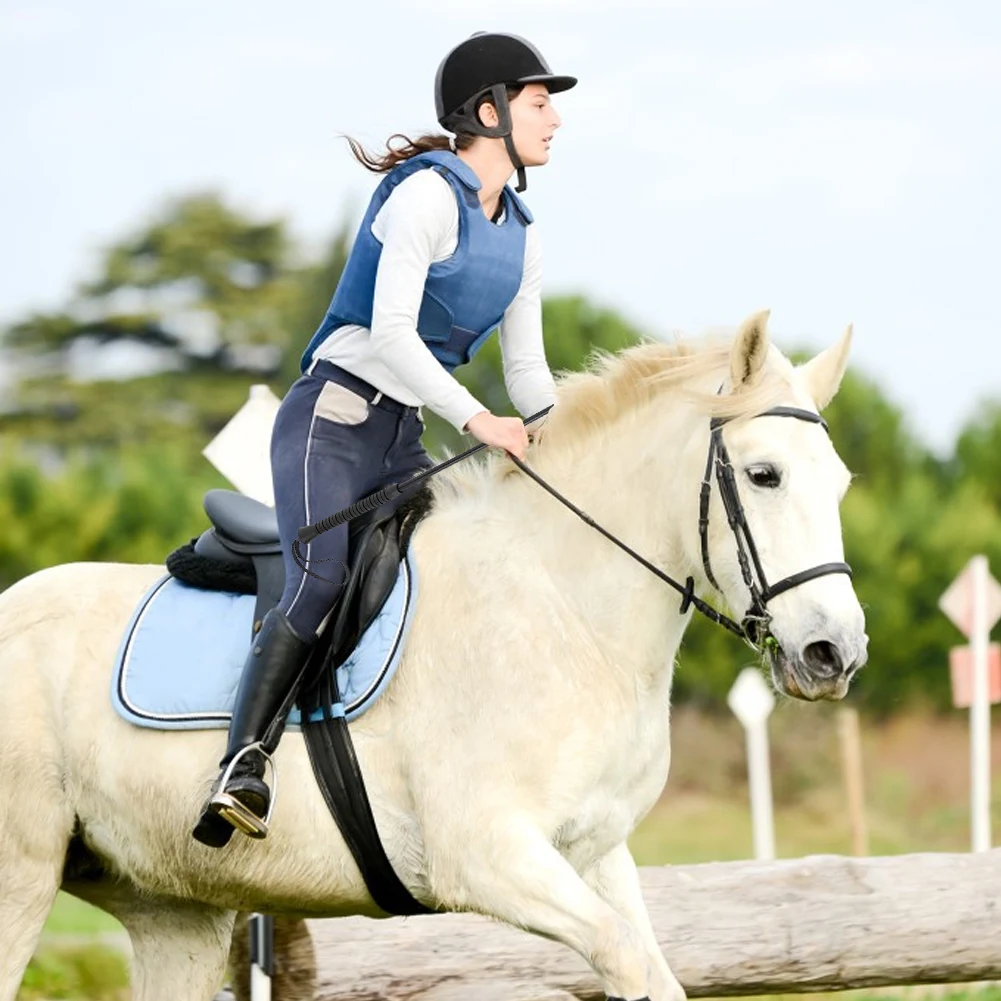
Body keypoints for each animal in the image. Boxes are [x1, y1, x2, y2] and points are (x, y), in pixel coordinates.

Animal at [0, 310, 867, 1001]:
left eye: (840, 482)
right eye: (763, 474)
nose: (835, 653)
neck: (567, 610)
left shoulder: (593, 852)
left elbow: (654, 971)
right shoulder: (487, 855)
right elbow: (619, 954)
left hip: (172, 910)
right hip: (24, 877)